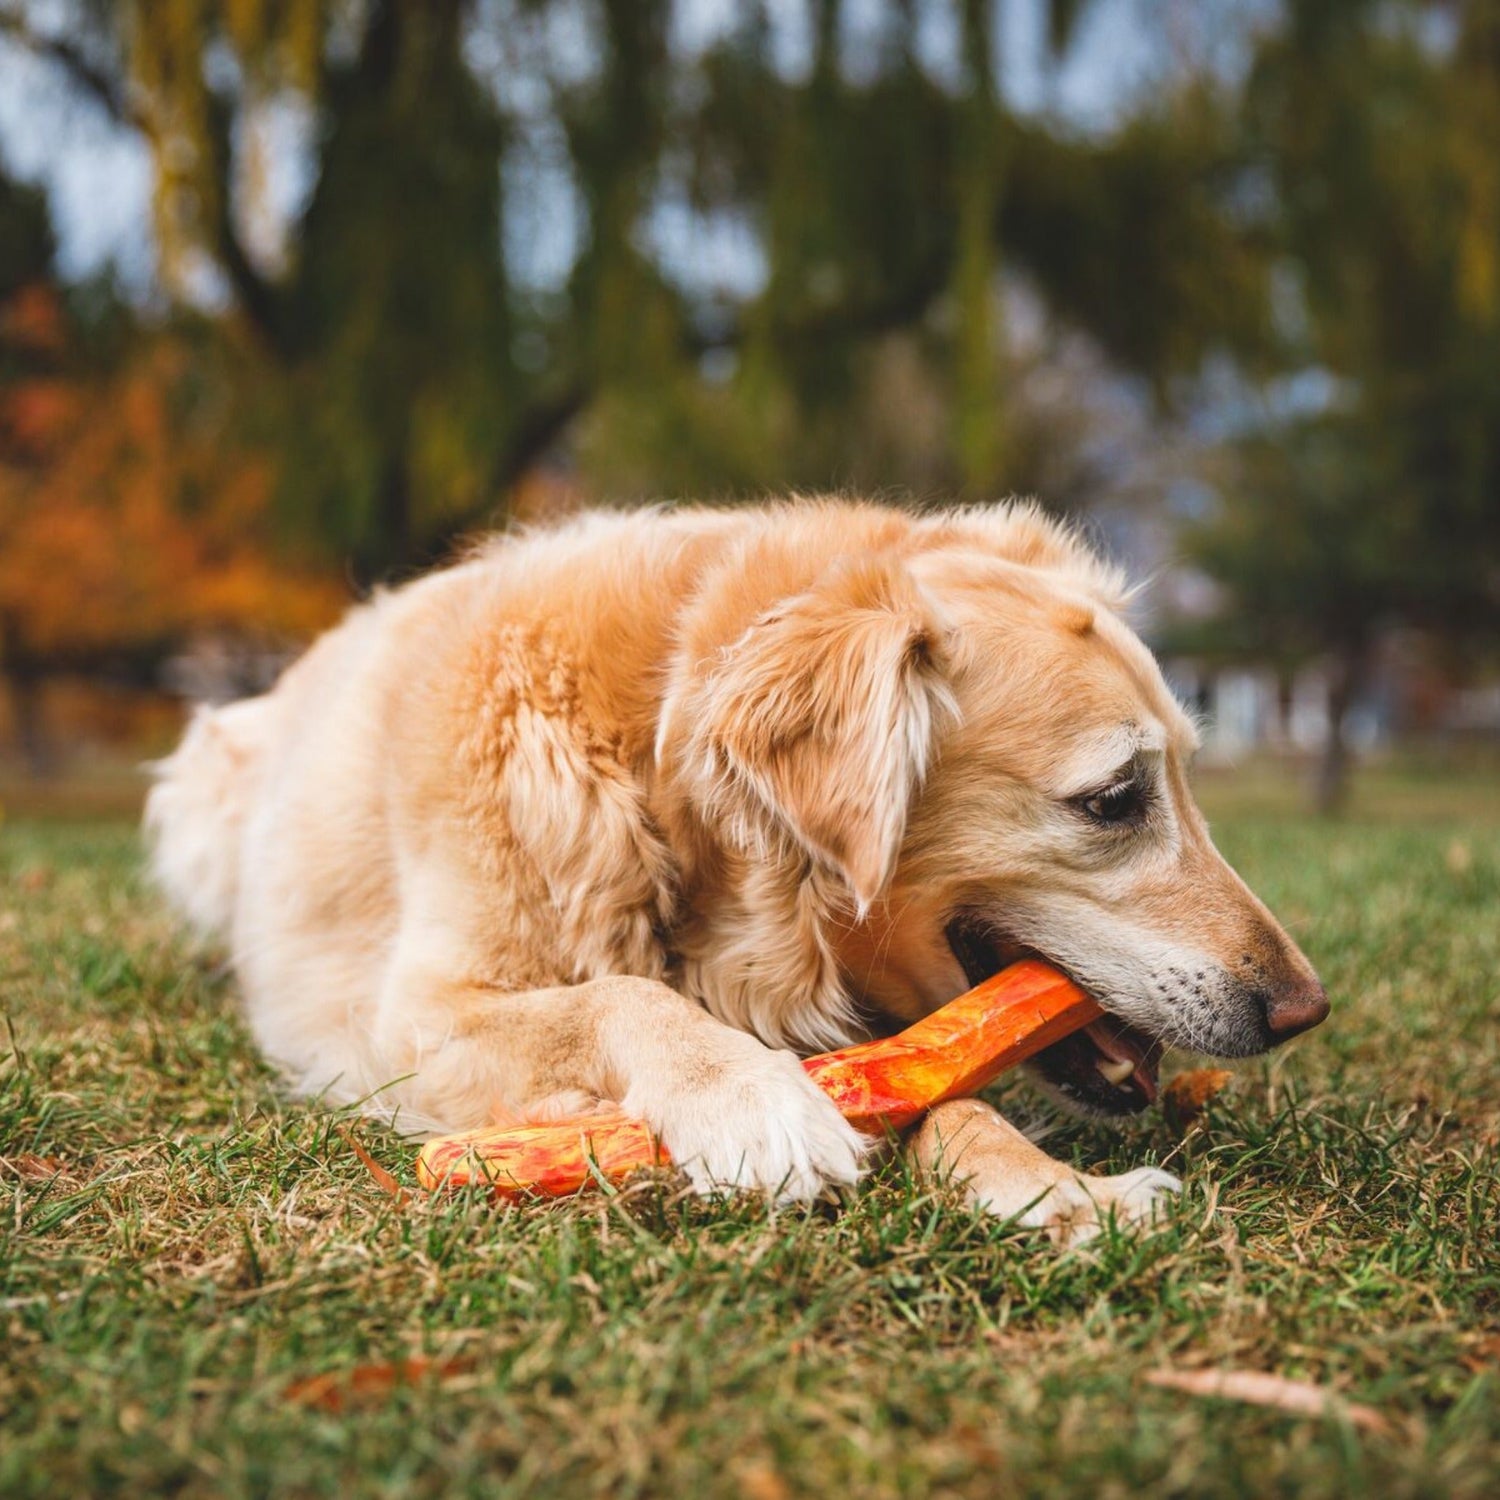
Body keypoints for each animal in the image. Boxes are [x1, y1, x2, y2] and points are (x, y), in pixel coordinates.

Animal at [146, 504, 1332, 1242]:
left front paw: (1059, 1192)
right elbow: (618, 998)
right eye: (1114, 800)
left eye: (1187, 774)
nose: (1304, 1011)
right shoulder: (417, 1018)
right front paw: (744, 1095)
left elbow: (936, 1092)